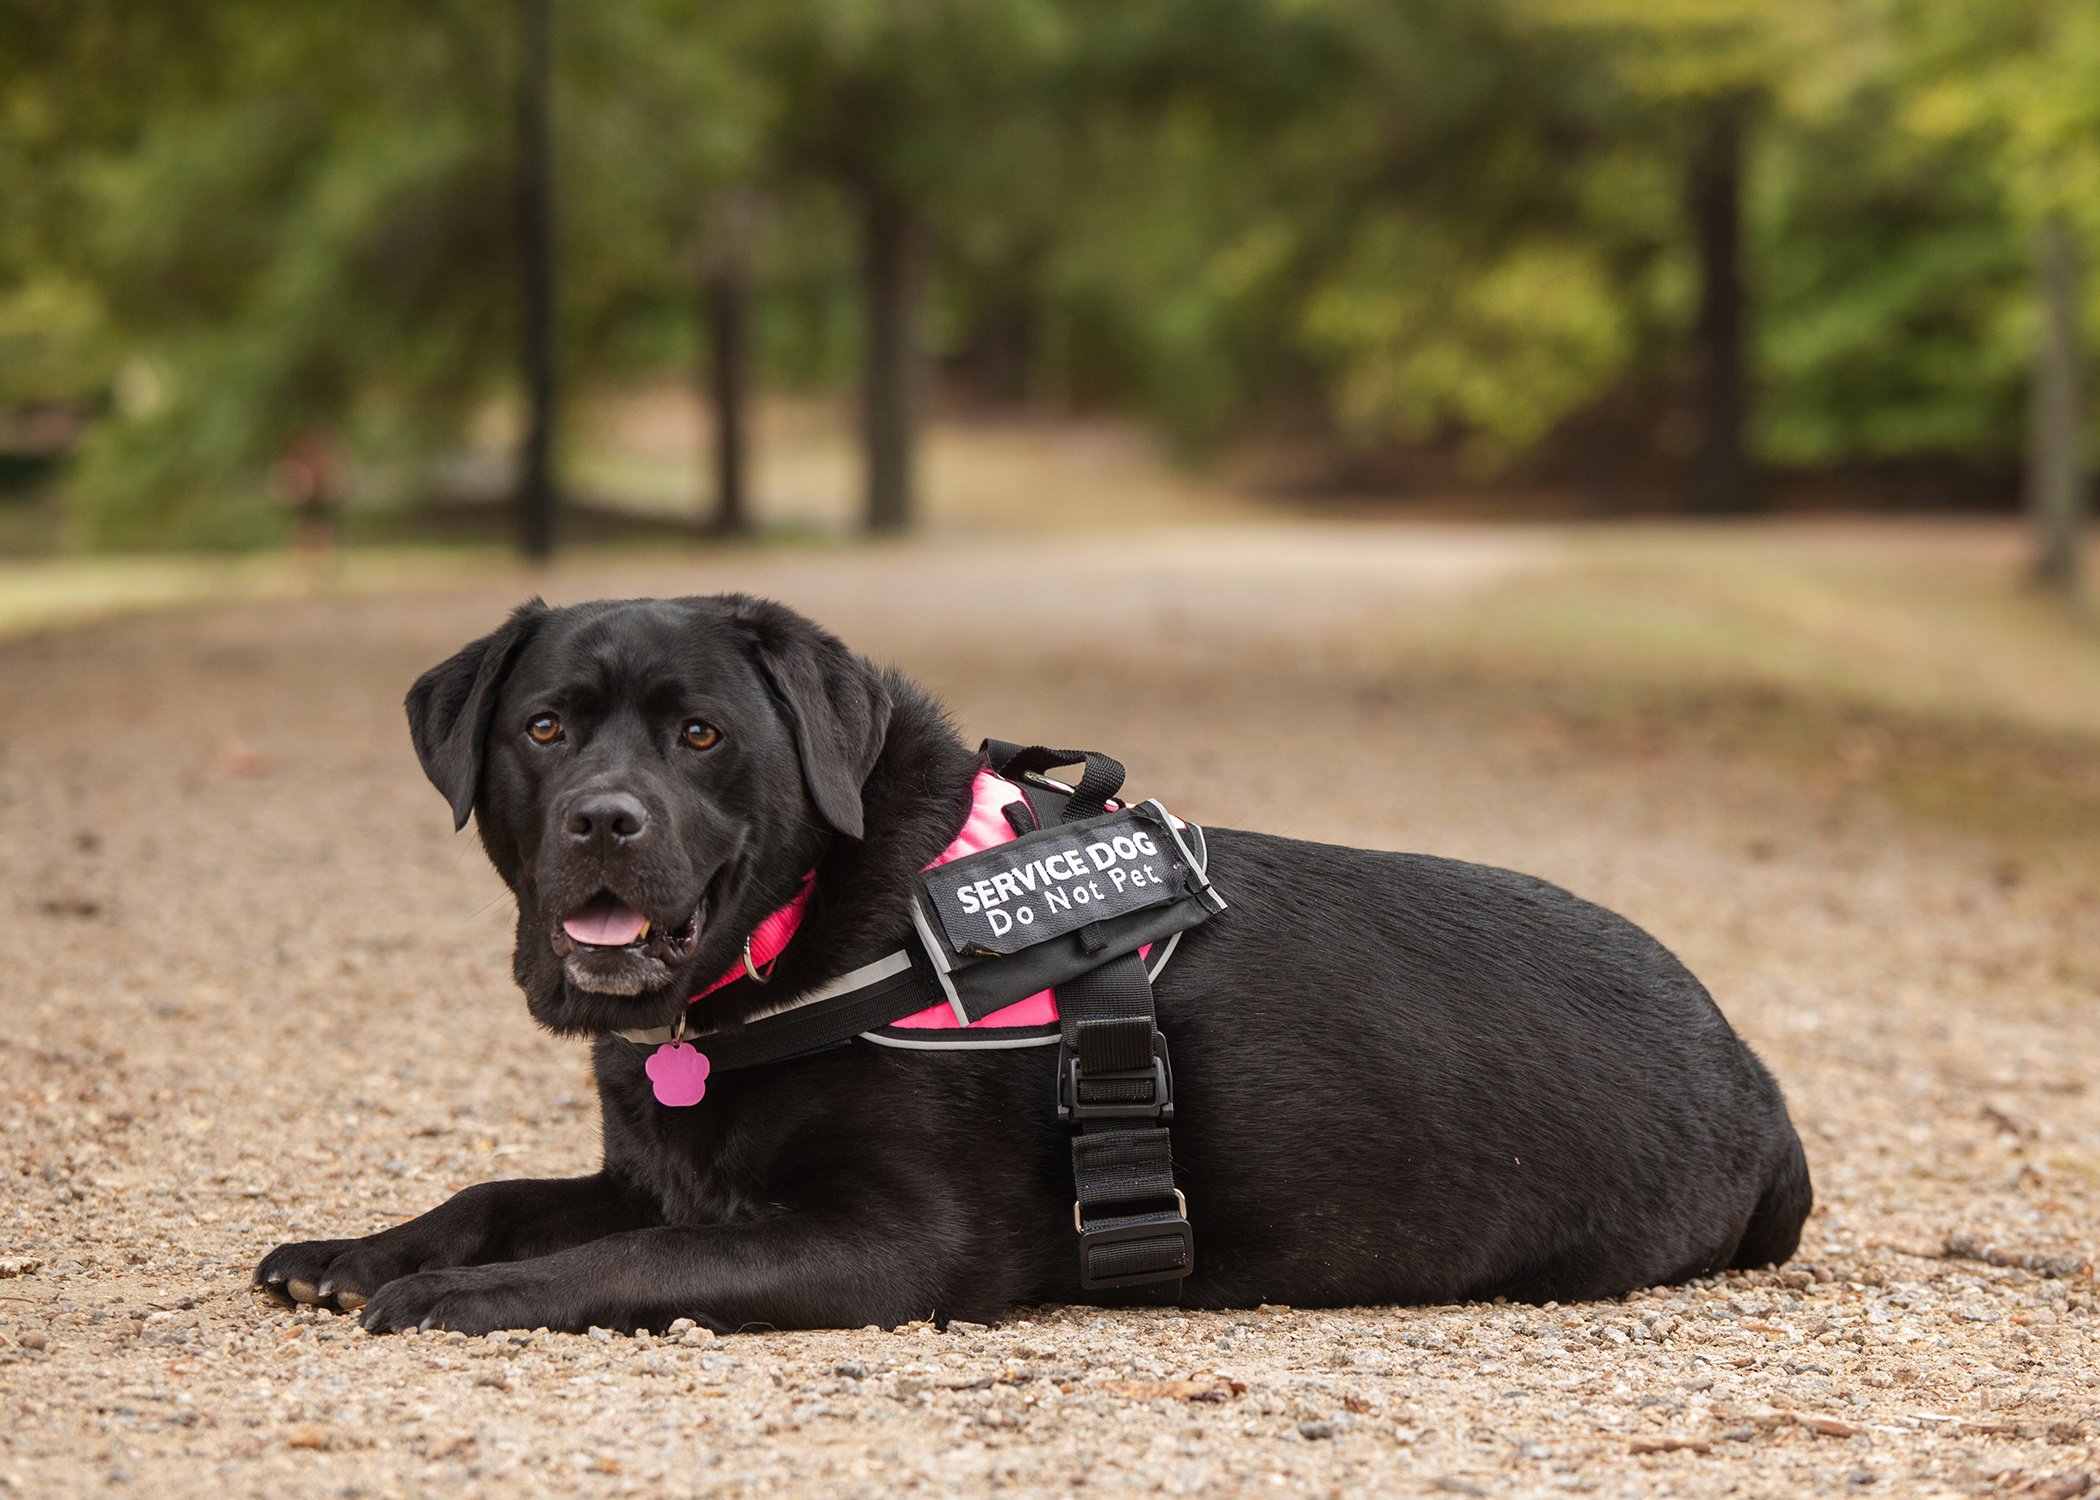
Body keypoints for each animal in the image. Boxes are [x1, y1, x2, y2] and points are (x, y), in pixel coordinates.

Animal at [258, 588, 1805, 1327]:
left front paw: (458, 1298)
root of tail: (1756, 1074)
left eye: (700, 734)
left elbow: (630, 1263)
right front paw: (358, 1250)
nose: (603, 820)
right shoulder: (661, 1170)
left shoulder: (898, 1245)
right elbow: (501, 1195)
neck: (812, 924)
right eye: (544, 730)